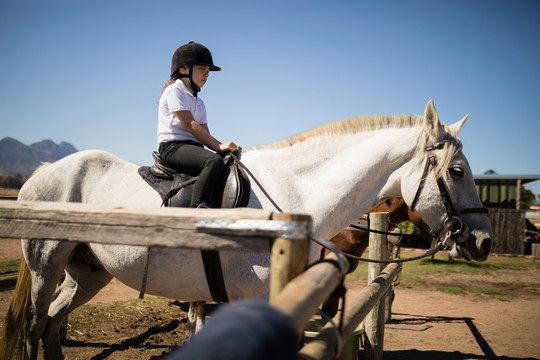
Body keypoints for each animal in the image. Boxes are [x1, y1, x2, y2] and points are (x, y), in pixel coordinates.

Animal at [0, 100, 494, 358]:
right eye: (456, 172)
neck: (296, 197)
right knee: (35, 324)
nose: (483, 241)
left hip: (87, 273)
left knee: (52, 322)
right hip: (46, 267)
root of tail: (43, 173)